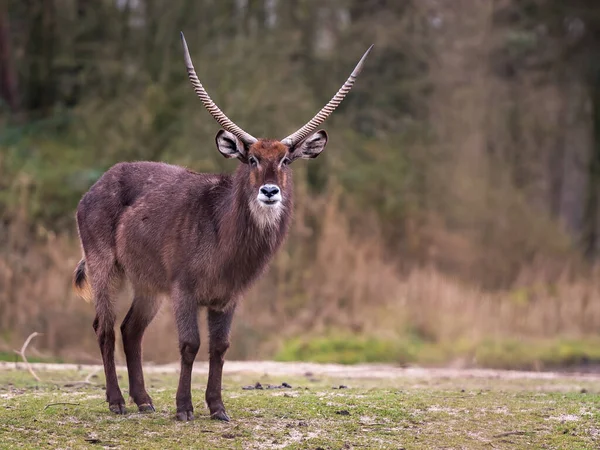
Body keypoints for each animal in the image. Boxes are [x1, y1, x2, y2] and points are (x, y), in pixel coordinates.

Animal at [72, 32, 372, 422]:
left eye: (286, 160)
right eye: (252, 158)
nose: (270, 191)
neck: (221, 232)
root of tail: (96, 186)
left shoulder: (227, 296)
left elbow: (220, 347)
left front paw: (217, 408)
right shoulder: (184, 289)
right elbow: (189, 344)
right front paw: (184, 409)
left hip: (148, 284)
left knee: (131, 330)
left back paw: (144, 401)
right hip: (104, 267)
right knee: (104, 328)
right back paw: (117, 402)